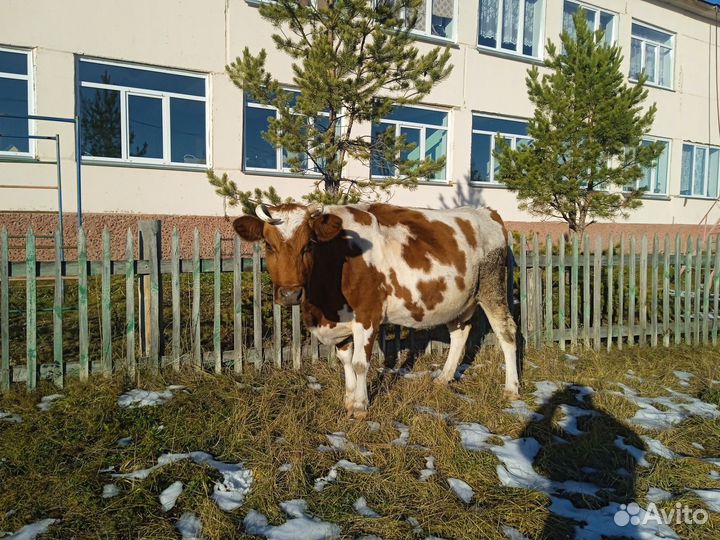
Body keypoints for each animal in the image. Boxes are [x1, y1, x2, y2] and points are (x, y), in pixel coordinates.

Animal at [233, 202, 519, 419]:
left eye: (309, 245)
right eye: (269, 245)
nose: (290, 294)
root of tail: (486, 212)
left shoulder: (367, 315)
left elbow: (361, 362)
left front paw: (360, 406)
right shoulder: (343, 319)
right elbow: (345, 359)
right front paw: (349, 398)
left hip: (492, 288)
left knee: (507, 332)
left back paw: (512, 388)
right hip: (458, 300)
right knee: (460, 333)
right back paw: (444, 378)